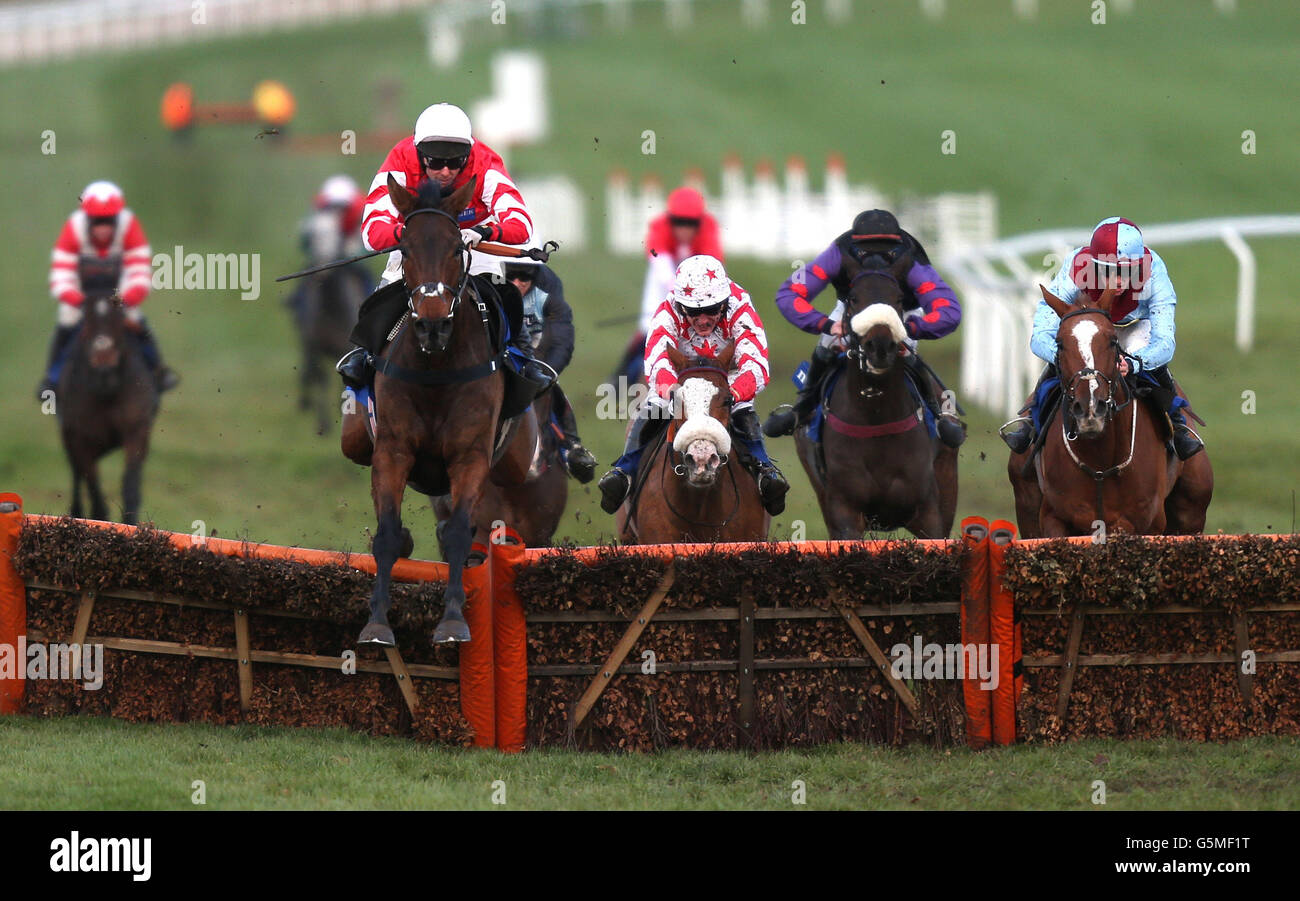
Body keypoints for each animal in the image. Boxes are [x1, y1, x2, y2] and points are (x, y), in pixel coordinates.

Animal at [790, 248, 956, 533]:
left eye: (898, 298)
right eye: (854, 299)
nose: (879, 346)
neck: (875, 414)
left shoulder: (929, 512)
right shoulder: (843, 511)